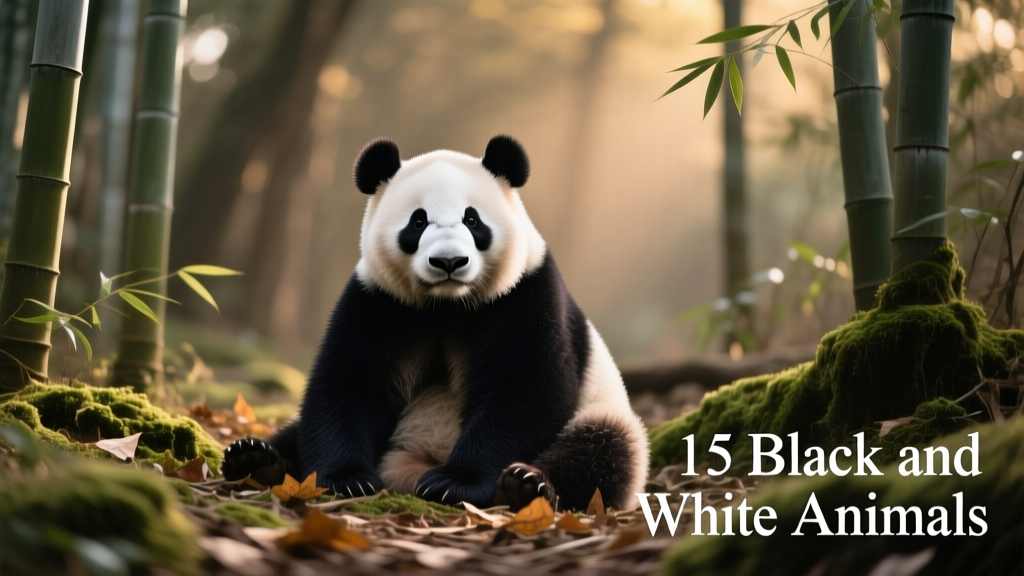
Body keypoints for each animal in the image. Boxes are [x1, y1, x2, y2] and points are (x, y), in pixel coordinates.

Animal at [221, 135, 649, 512]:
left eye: (472, 219)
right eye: (418, 222)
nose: (448, 261)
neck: (447, 304)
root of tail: (414, 465)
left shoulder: (525, 294)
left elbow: (525, 387)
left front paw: (456, 483)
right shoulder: (379, 301)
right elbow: (349, 382)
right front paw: (347, 478)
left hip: (601, 411)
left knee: (604, 449)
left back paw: (525, 485)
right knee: (295, 432)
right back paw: (256, 459)